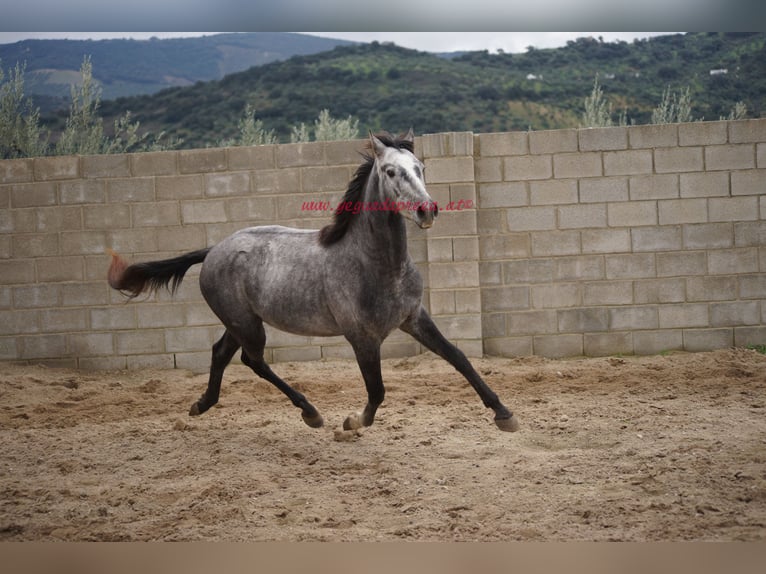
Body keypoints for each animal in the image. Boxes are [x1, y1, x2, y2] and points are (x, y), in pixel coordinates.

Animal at [108, 130, 520, 434]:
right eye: (390, 172)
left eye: (420, 167)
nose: (427, 210)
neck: (376, 266)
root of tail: (214, 250)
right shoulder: (362, 338)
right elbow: (377, 390)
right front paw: (352, 423)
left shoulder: (414, 318)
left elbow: (459, 358)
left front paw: (504, 414)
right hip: (247, 324)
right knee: (252, 360)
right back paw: (310, 412)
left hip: (241, 321)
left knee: (221, 352)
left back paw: (202, 405)